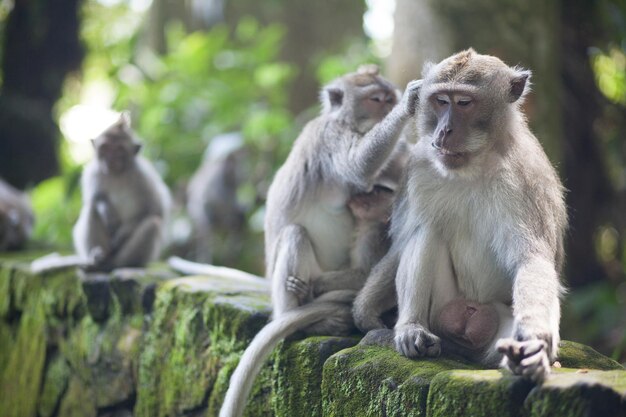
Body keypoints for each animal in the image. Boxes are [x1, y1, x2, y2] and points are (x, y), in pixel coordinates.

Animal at [31, 113, 171, 272]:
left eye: (120, 150)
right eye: (105, 148)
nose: (110, 160)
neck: (117, 174)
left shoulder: (144, 177)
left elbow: (156, 210)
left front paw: (122, 234)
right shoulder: (92, 173)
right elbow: (95, 199)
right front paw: (105, 210)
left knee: (153, 224)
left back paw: (120, 264)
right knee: (91, 209)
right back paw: (97, 259)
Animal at [218, 66, 420, 416]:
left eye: (387, 99)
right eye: (376, 100)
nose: (387, 110)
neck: (348, 123)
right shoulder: (331, 136)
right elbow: (359, 166)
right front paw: (411, 103)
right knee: (294, 234)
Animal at [352, 48, 564, 380]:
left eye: (464, 102)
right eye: (441, 101)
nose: (444, 130)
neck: (475, 164)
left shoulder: (526, 179)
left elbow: (531, 261)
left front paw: (533, 341)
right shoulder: (419, 166)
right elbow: (402, 243)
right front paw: (365, 310)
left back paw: (517, 360)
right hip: (443, 310)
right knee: (426, 230)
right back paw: (412, 329)